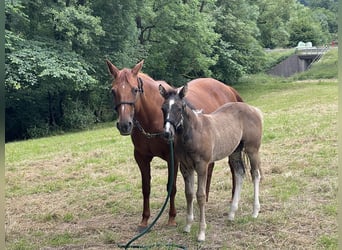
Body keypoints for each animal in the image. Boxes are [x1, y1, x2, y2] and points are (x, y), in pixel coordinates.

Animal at [105, 59, 242, 229]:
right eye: (113, 91)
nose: (124, 125)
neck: (153, 118)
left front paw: (171, 218)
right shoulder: (141, 158)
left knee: (233, 168)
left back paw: (233, 199)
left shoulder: (173, 158)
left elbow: (172, 187)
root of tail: (227, 88)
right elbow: (146, 188)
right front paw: (145, 219)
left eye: (135, 89)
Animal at [159, 84, 264, 242]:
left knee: (255, 174)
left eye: (179, 108)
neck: (194, 132)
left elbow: (200, 196)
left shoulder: (202, 166)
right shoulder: (186, 167)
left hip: (252, 149)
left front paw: (201, 233)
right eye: (163, 108)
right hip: (235, 151)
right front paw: (187, 226)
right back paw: (231, 213)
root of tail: (254, 109)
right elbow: (189, 194)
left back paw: (255, 211)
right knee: (240, 173)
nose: (167, 133)